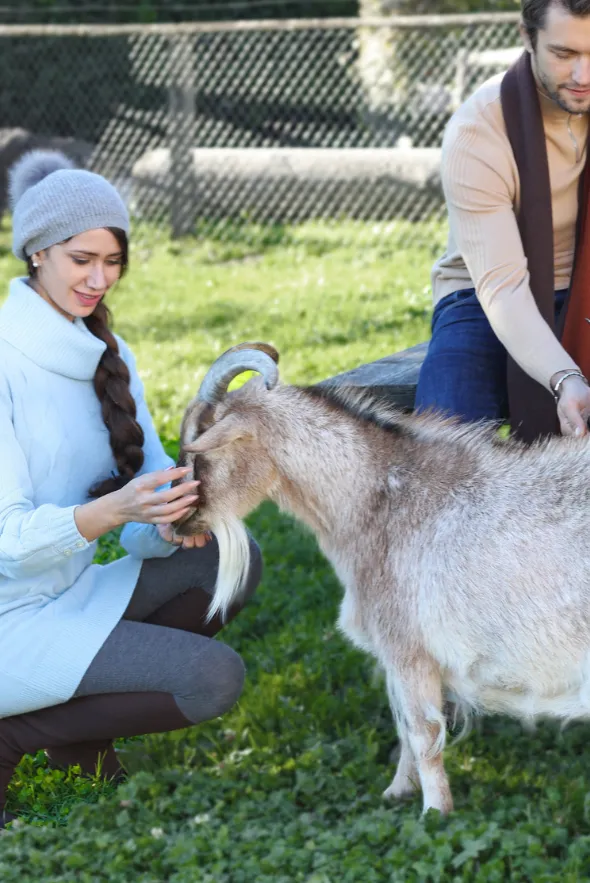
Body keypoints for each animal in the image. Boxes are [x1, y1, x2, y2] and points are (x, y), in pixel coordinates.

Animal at [175, 340, 590, 816]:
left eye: (200, 451)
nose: (176, 524)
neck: (375, 501)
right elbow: (407, 727)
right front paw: (397, 791)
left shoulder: (407, 647)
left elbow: (423, 732)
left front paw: (434, 814)